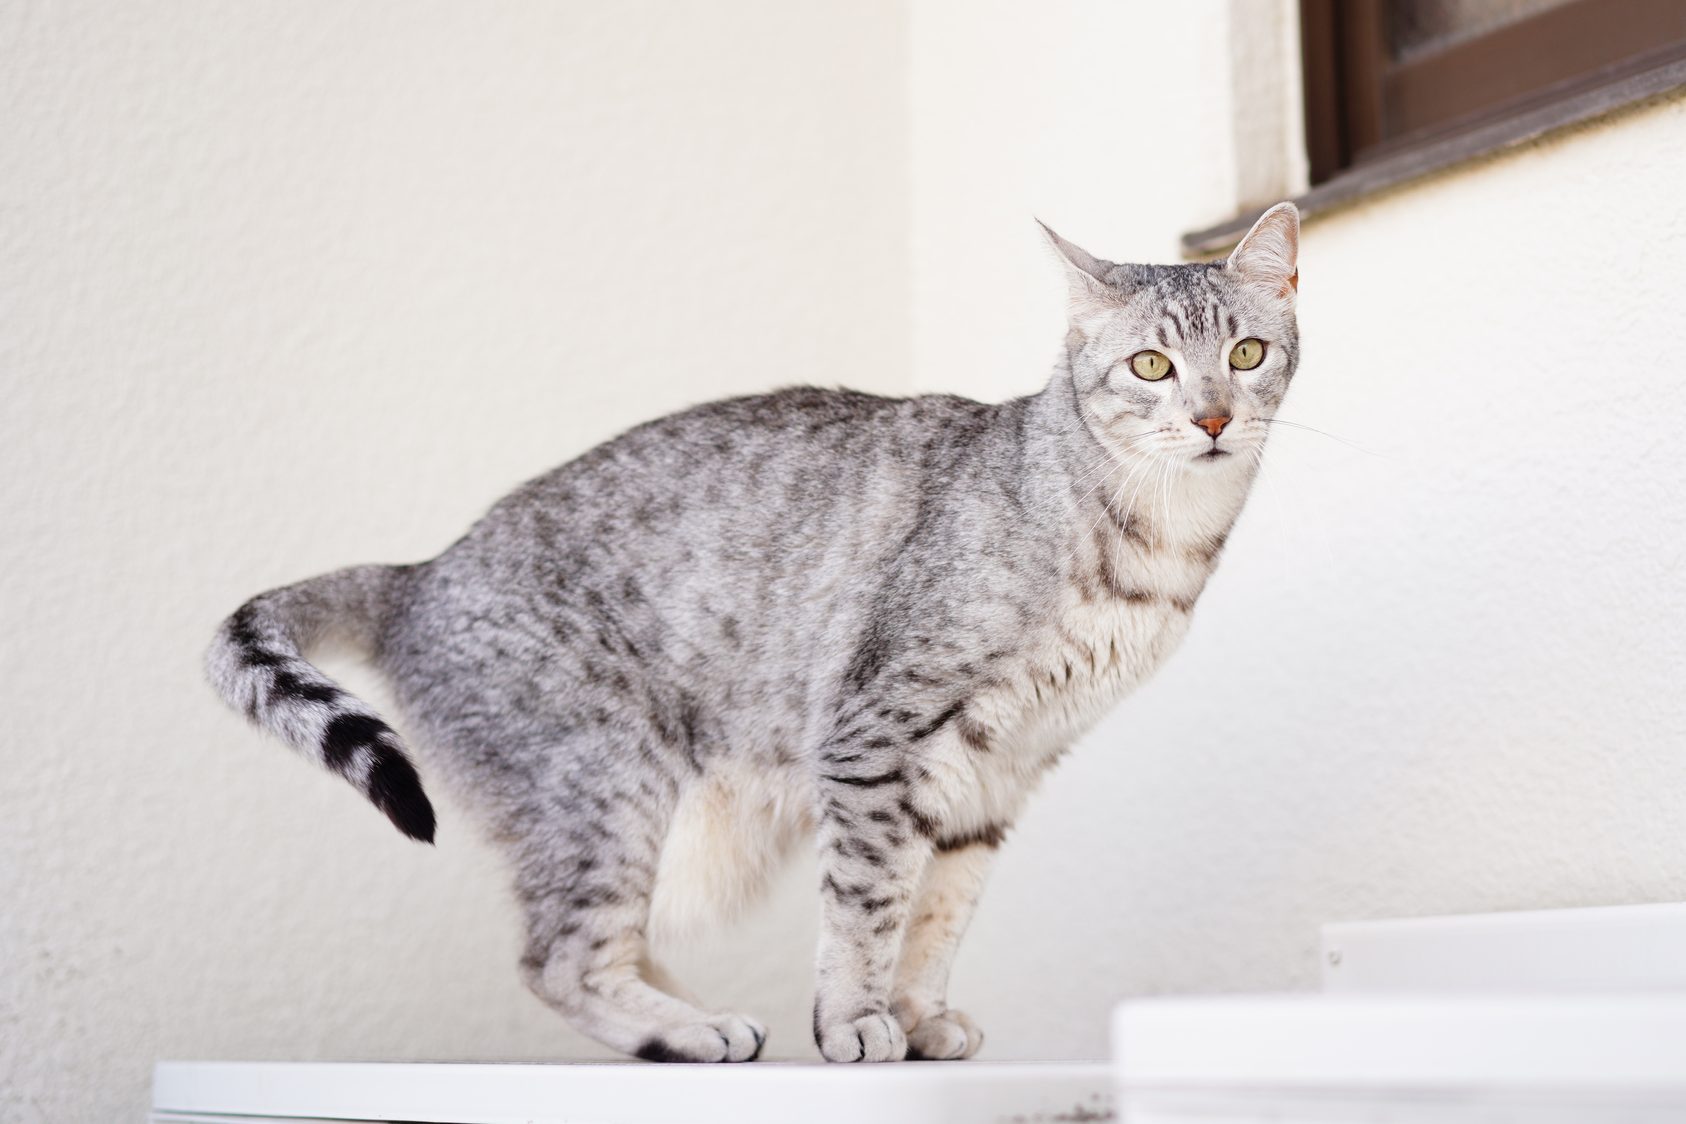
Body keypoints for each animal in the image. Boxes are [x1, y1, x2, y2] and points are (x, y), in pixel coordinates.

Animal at [200, 202, 1301, 1065]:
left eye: (1246, 354)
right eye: (1151, 365)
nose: (1212, 419)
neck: (1152, 546)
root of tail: (419, 573)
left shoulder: (1005, 770)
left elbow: (940, 910)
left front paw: (918, 1012)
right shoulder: (874, 736)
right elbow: (868, 900)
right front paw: (854, 1018)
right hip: (608, 775)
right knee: (557, 957)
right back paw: (689, 1028)